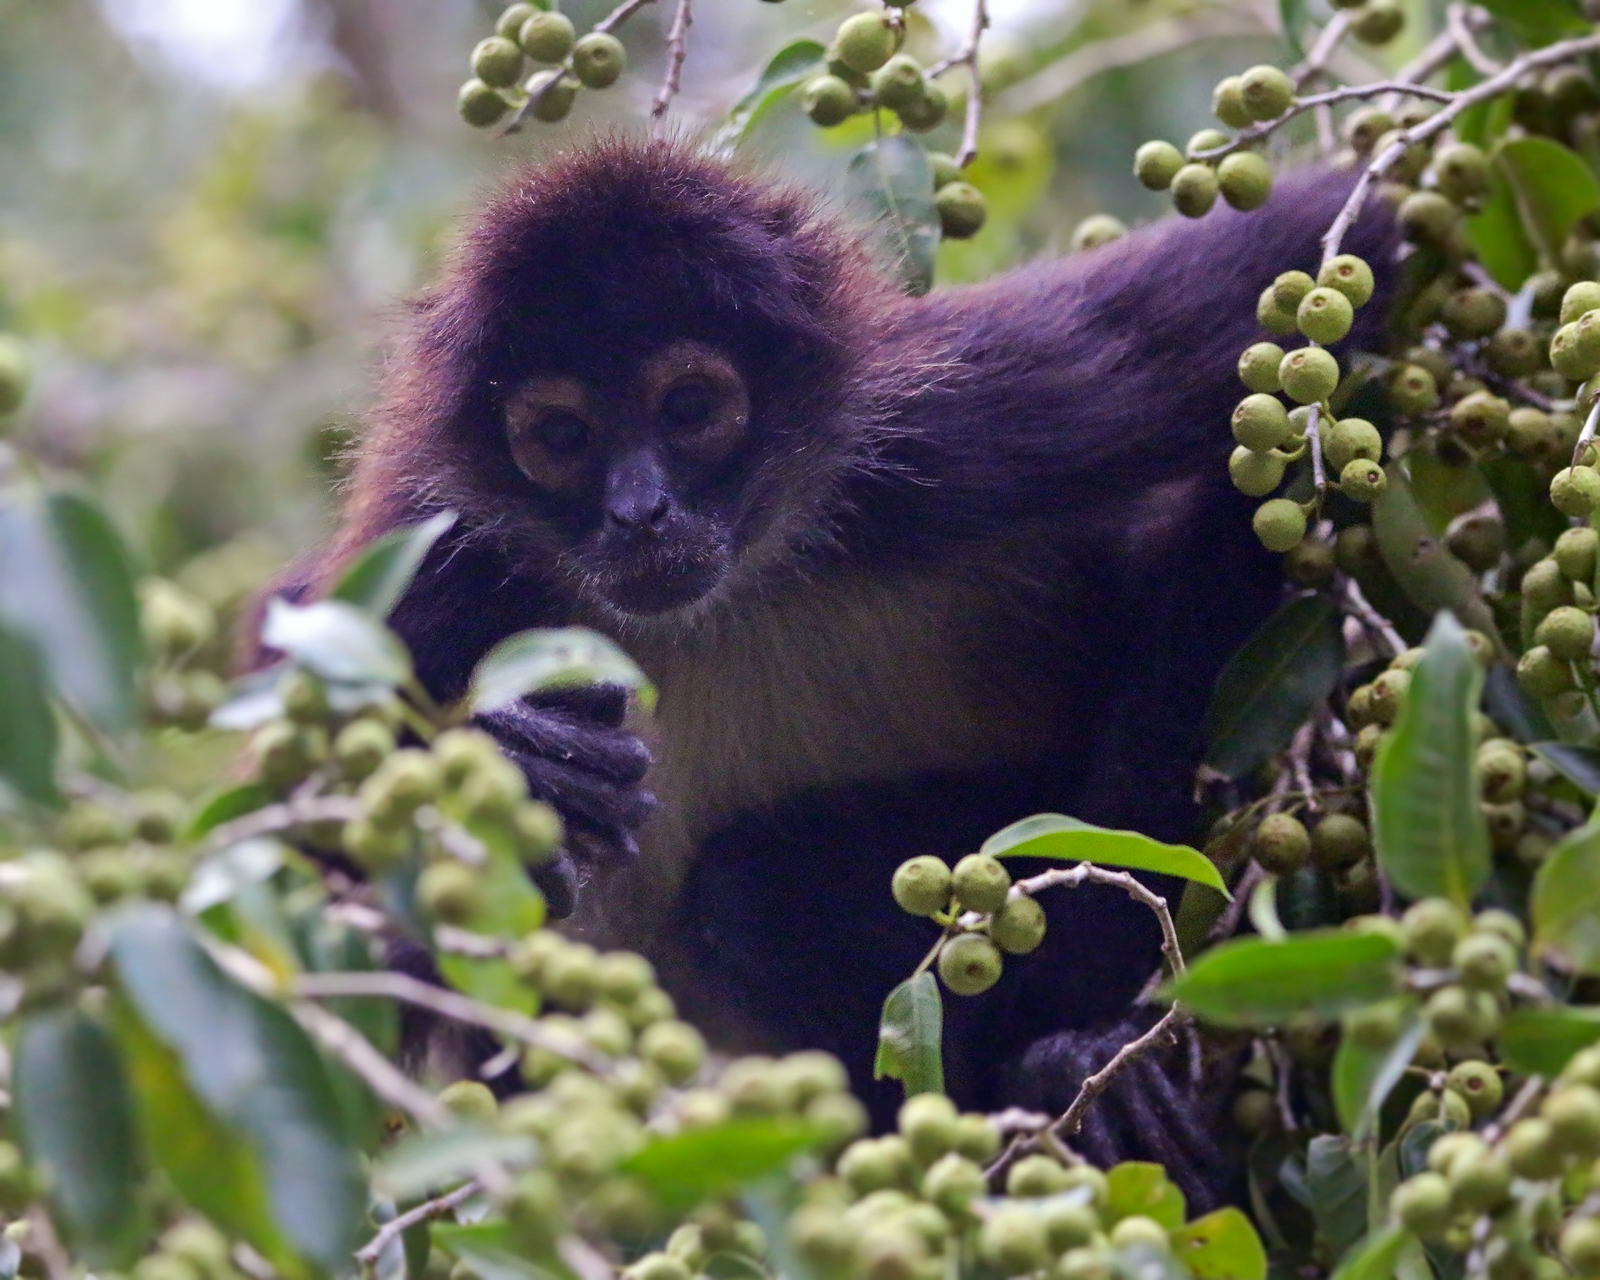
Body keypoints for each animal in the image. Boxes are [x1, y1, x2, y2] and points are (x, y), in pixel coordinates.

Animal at [293, 138, 1392, 1207]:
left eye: (689, 407)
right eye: (563, 437)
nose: (639, 512)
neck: (718, 604)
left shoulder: (963, 420)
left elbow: (1327, 242)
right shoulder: (438, 563)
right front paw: (527, 765)